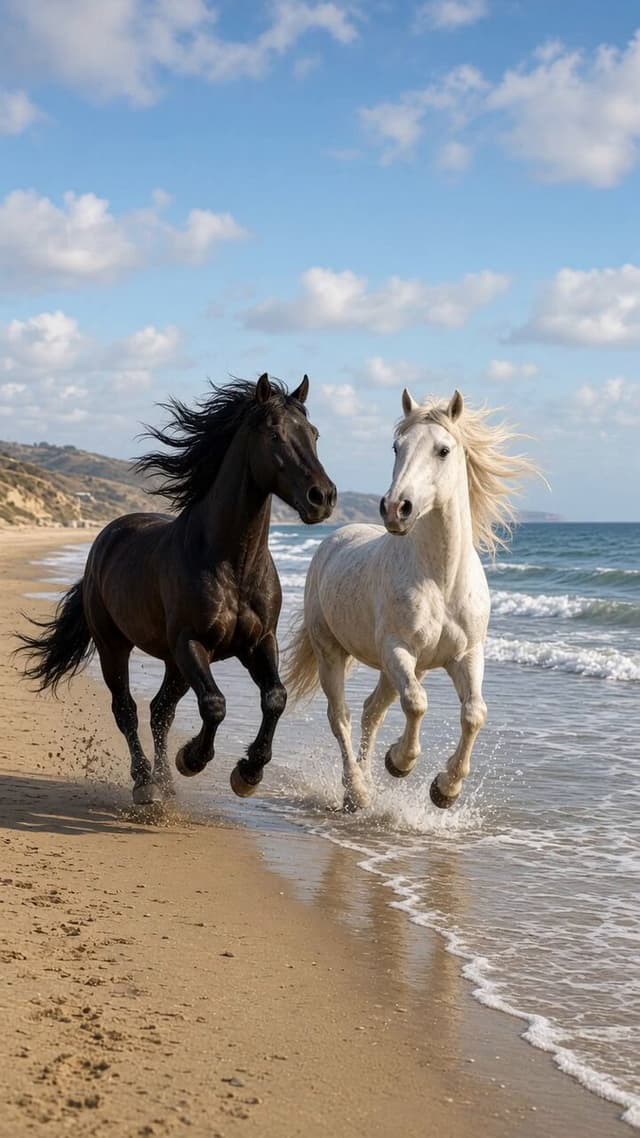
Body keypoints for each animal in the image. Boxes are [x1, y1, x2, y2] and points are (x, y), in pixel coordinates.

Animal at [17, 373, 336, 806]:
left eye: (314, 433)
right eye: (274, 434)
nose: (323, 498)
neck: (231, 564)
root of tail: (107, 536)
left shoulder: (258, 642)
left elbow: (275, 697)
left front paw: (248, 774)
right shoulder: (192, 642)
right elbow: (215, 704)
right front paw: (194, 759)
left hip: (173, 662)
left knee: (160, 711)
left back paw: (164, 782)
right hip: (115, 645)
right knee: (127, 709)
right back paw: (145, 784)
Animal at [285, 388, 536, 813]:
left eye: (443, 450)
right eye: (396, 447)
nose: (395, 508)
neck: (442, 580)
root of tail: (334, 538)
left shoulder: (465, 655)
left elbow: (474, 714)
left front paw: (445, 789)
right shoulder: (398, 649)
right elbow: (417, 704)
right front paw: (401, 762)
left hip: (397, 668)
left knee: (372, 711)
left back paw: (368, 780)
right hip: (333, 652)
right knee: (342, 716)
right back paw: (357, 791)